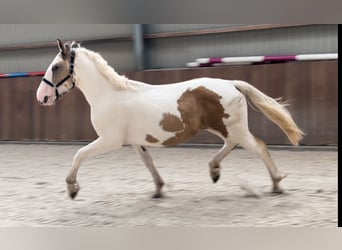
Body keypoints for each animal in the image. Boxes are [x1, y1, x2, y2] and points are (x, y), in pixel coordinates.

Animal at [36, 39, 304, 199]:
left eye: (55, 67)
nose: (42, 97)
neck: (111, 95)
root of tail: (232, 83)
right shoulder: (136, 142)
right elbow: (148, 163)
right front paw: (159, 189)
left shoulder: (109, 140)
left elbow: (79, 154)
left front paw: (72, 188)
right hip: (223, 128)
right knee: (231, 145)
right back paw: (214, 170)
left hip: (232, 128)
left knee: (259, 147)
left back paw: (277, 184)